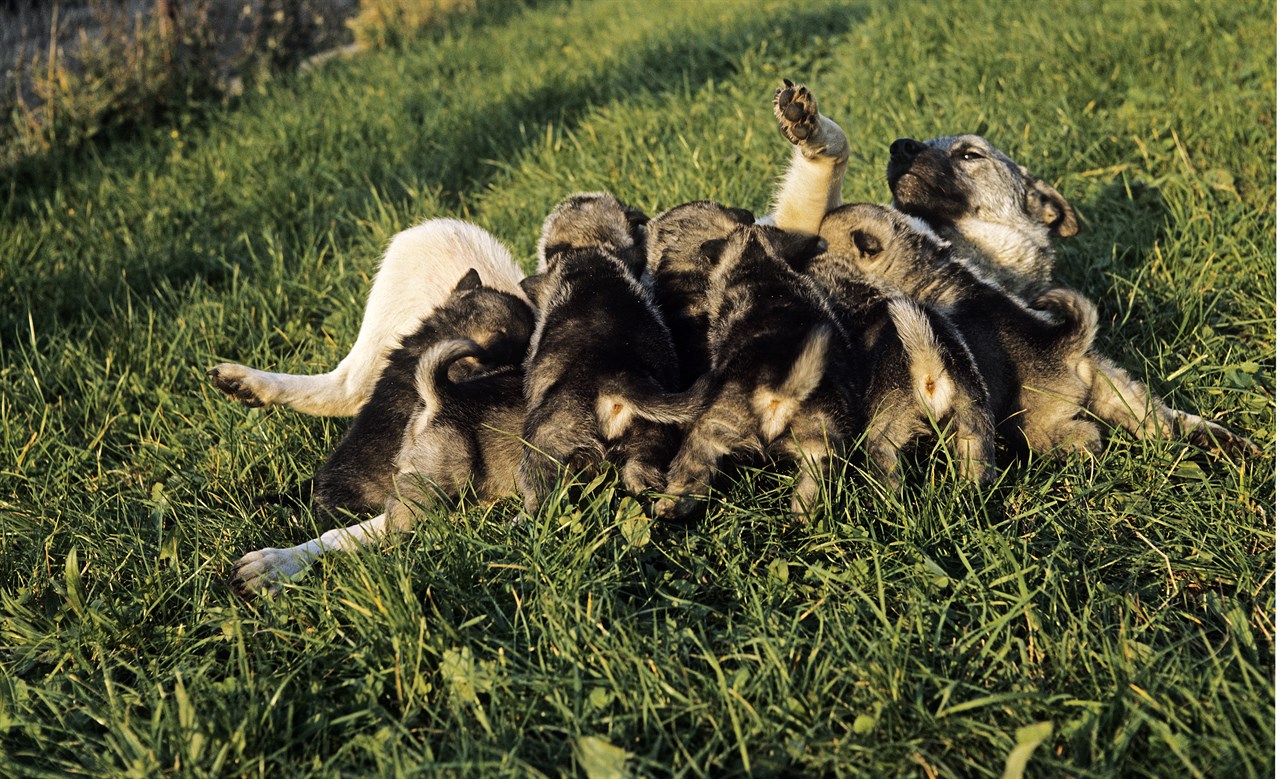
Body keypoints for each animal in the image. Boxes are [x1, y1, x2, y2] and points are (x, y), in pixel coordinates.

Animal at [514, 191, 691, 514]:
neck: (587, 247)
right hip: (651, 438)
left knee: (539, 490)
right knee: (641, 475)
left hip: (545, 443)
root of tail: (615, 380)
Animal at [655, 209, 855, 519]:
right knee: (810, 494)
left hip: (709, 428)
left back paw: (666, 506)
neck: (759, 268)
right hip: (821, 445)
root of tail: (778, 391)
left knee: (689, 475)